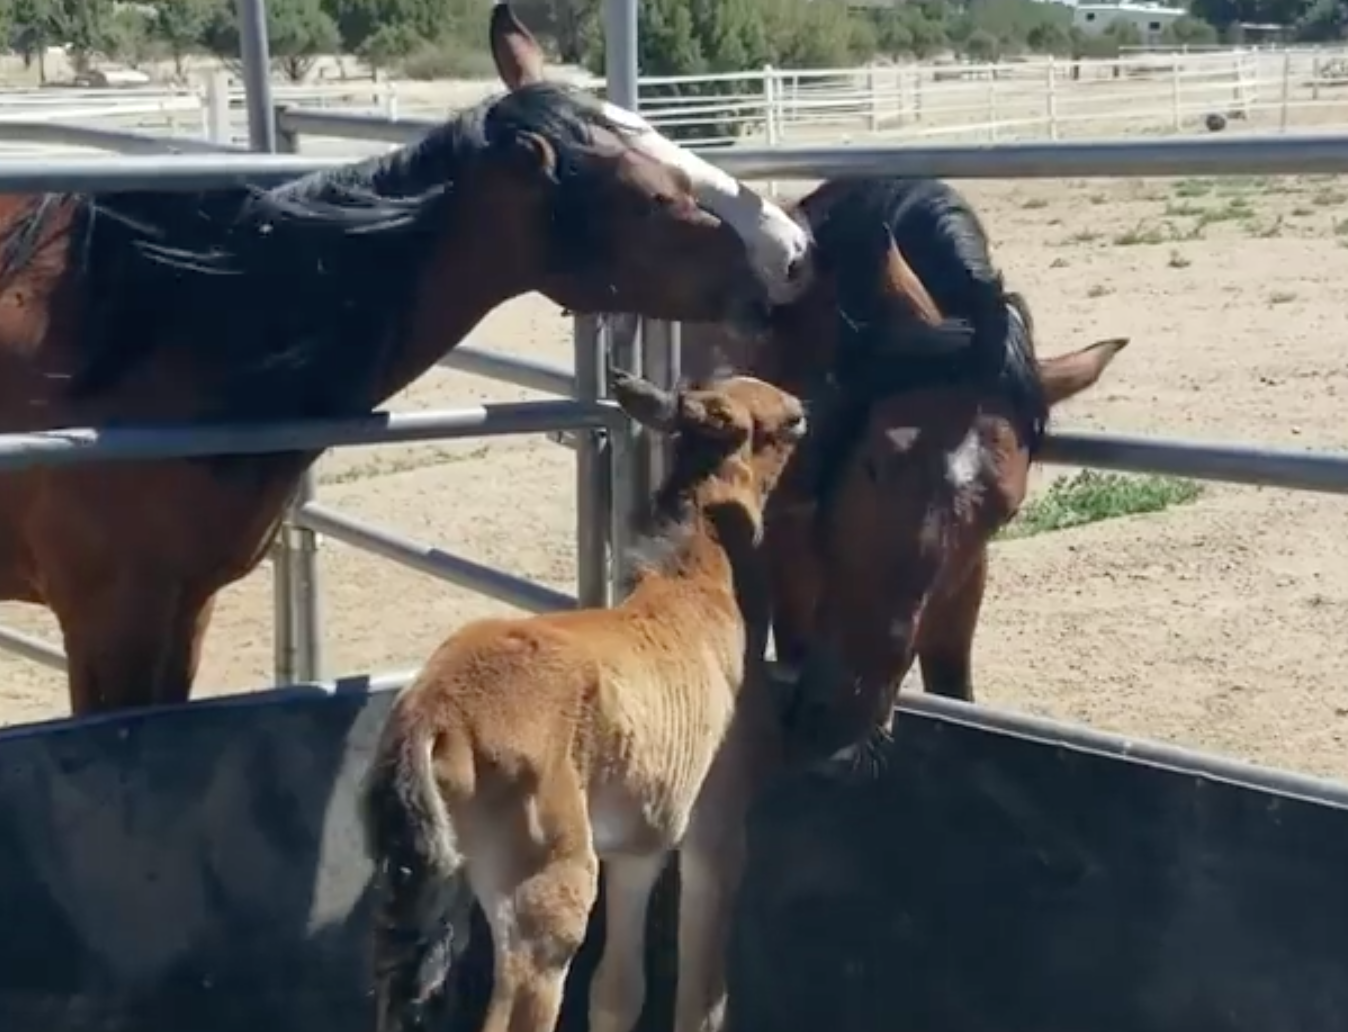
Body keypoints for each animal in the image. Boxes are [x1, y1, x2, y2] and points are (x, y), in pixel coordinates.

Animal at [358, 366, 803, 1029]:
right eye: (766, 416)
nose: (802, 408)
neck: (700, 584)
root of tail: (434, 716)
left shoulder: (640, 846)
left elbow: (616, 993)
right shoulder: (713, 832)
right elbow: (701, 996)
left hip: (430, 888)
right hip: (547, 894)